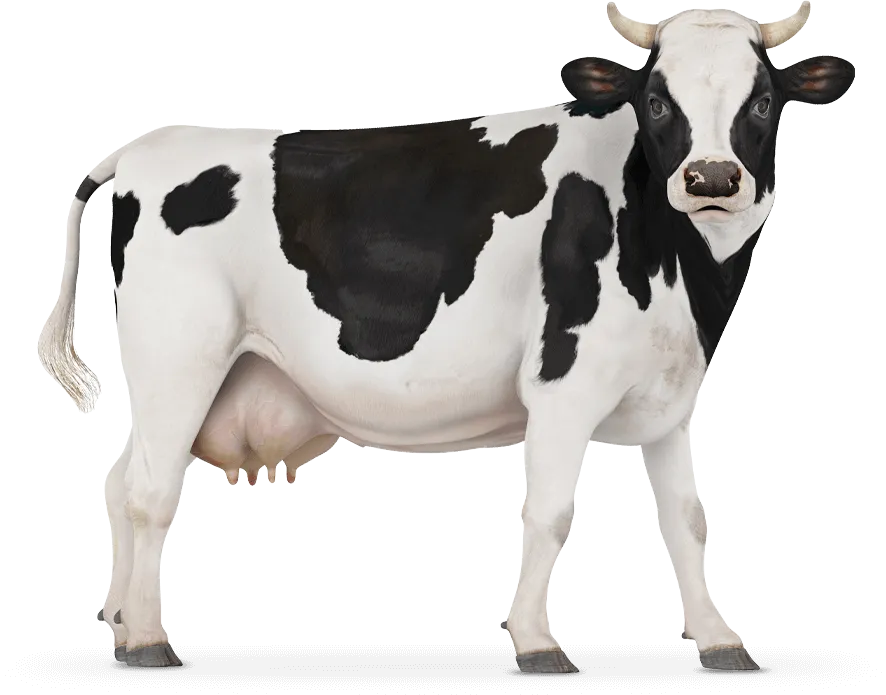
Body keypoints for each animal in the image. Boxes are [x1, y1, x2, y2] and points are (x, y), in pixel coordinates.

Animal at [41, 1, 854, 672]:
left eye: (763, 100)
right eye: (657, 100)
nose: (712, 178)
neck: (684, 272)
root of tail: (149, 144)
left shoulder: (673, 394)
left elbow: (690, 520)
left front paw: (719, 640)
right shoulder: (562, 383)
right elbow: (550, 508)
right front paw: (536, 641)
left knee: (120, 476)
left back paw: (122, 622)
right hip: (179, 356)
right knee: (147, 490)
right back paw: (149, 639)